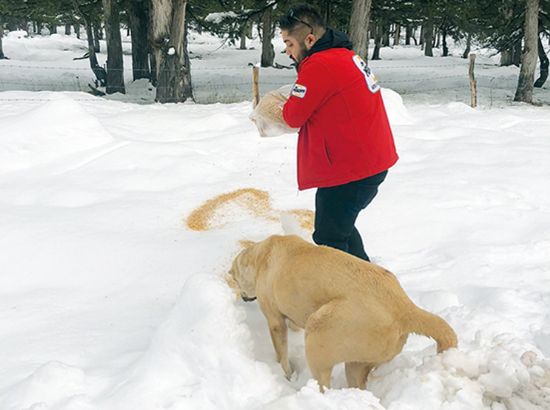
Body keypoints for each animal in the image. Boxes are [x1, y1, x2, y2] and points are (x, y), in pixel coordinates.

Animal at [226, 235, 460, 390]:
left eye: (235, 279)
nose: (243, 297)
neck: (261, 257)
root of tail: (404, 306)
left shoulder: (274, 320)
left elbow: (281, 352)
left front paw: (285, 373)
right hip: (359, 361)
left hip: (320, 330)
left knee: (323, 383)